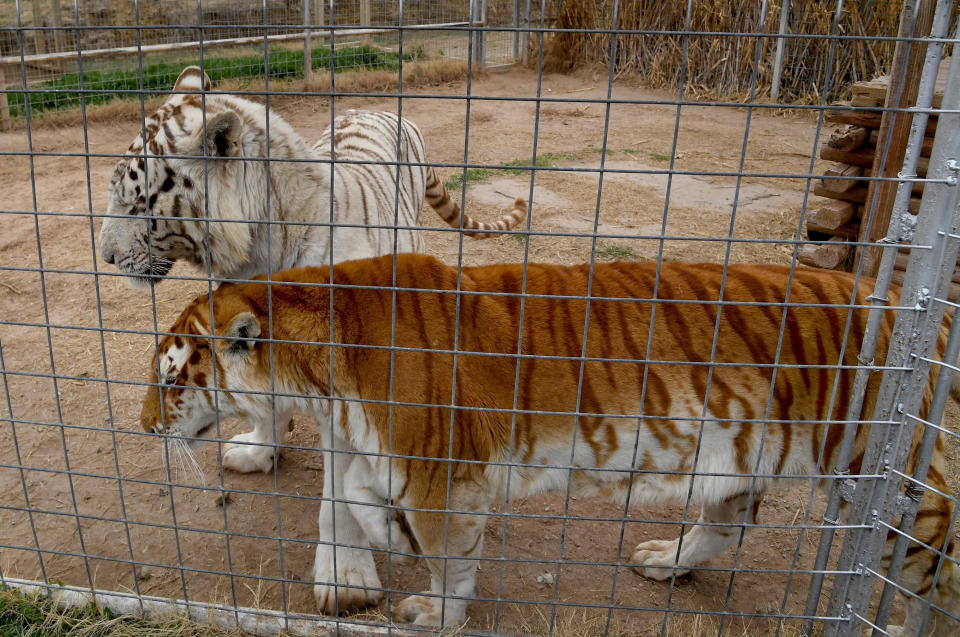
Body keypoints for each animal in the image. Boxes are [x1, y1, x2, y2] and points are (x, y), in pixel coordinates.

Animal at [139, 253, 956, 632]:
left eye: (171, 379)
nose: (144, 426)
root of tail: (921, 305)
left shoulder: (440, 474)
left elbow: (449, 559)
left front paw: (433, 610)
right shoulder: (395, 458)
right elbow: (357, 495)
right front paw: (386, 539)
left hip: (903, 495)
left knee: (937, 580)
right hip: (740, 462)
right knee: (727, 523)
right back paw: (665, 560)